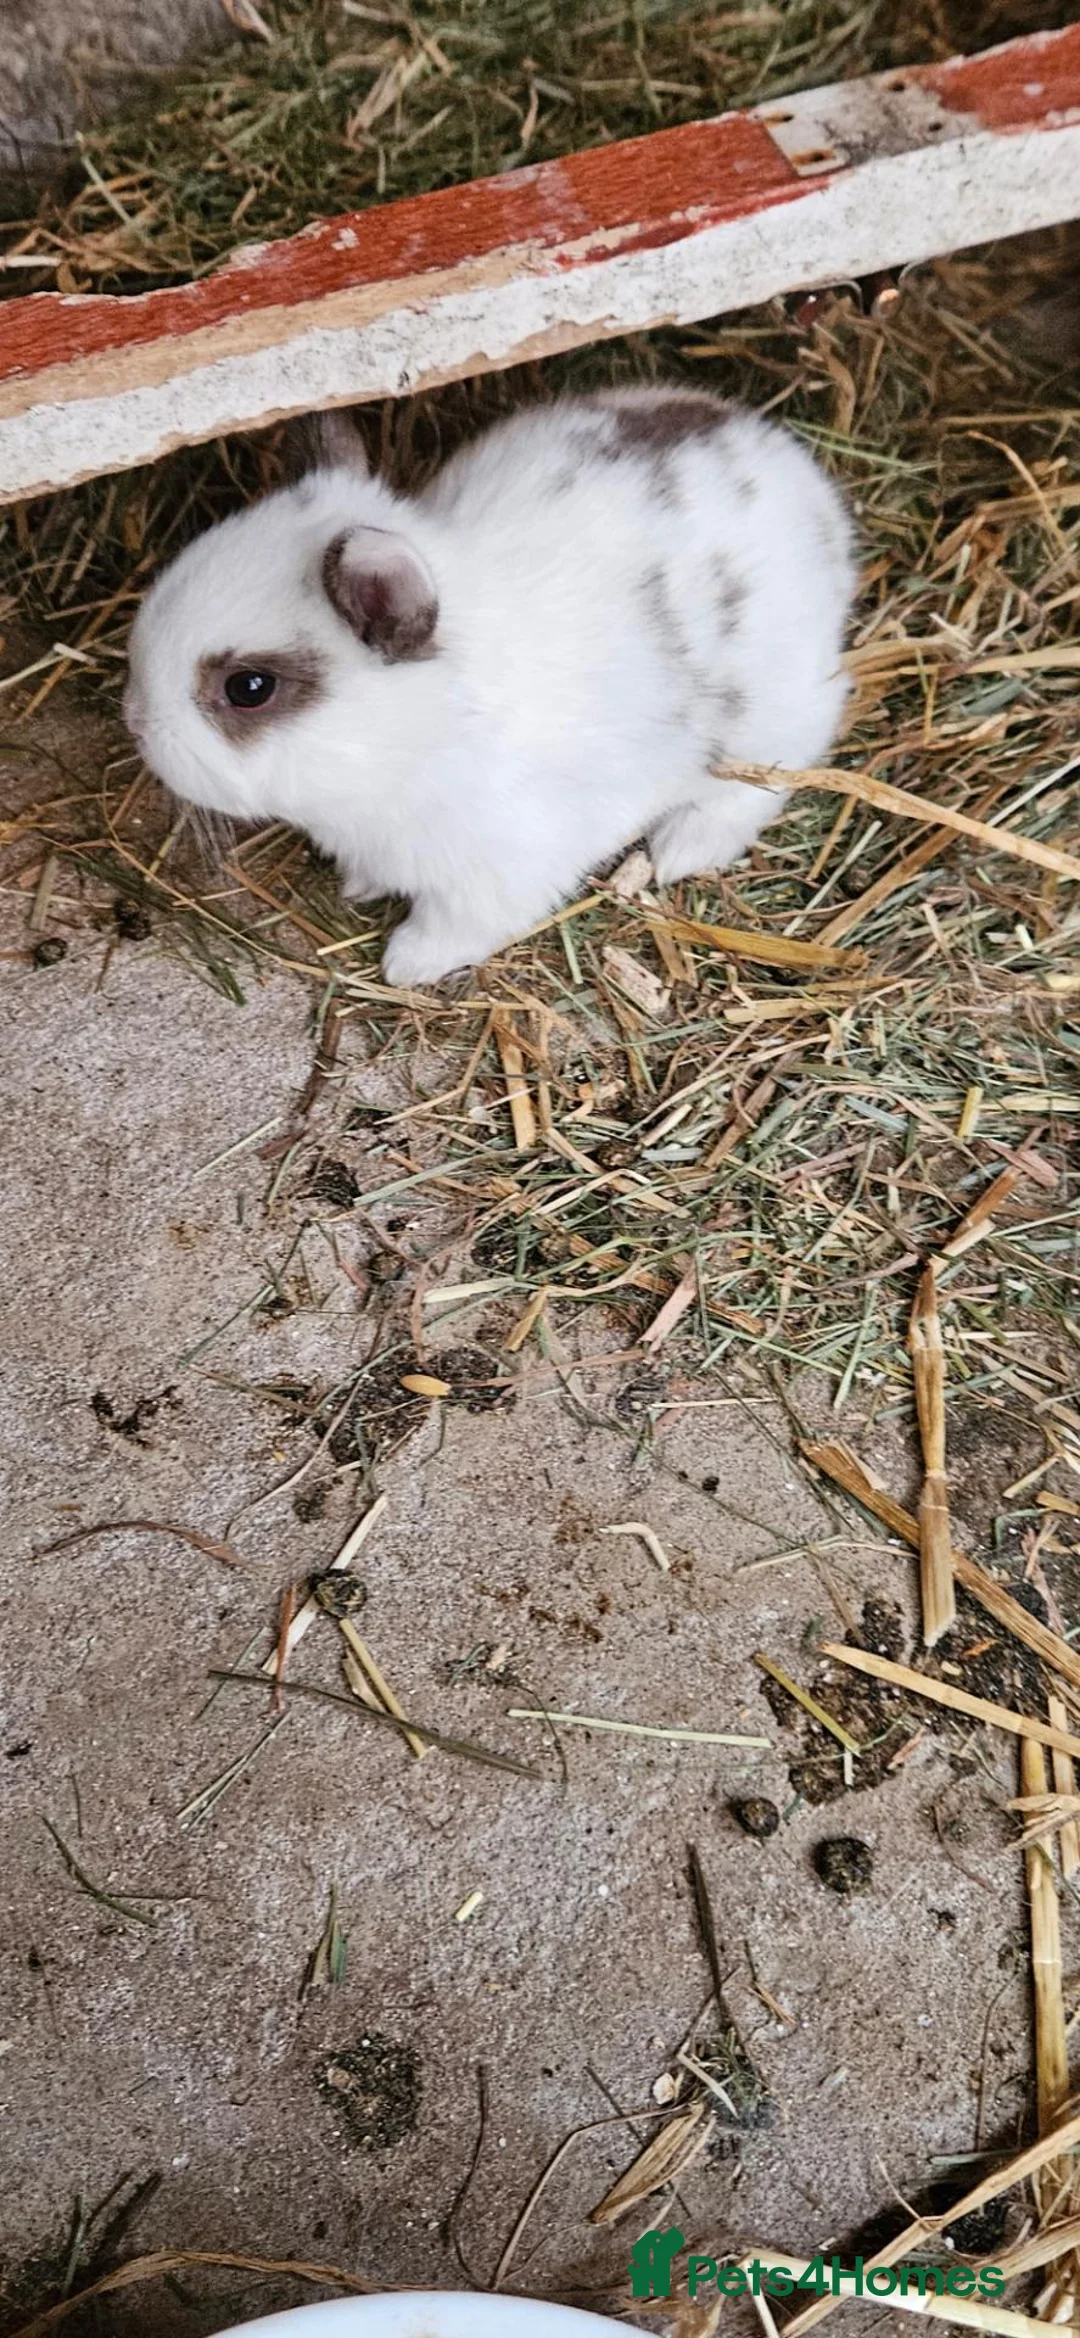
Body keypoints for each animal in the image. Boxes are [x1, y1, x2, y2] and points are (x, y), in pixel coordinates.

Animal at [124, 387, 855, 988]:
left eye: (249, 687)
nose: (135, 720)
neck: (424, 734)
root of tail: (803, 481)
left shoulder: (497, 874)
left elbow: (453, 927)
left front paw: (405, 966)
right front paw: (360, 887)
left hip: (774, 716)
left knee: (763, 778)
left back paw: (680, 851)